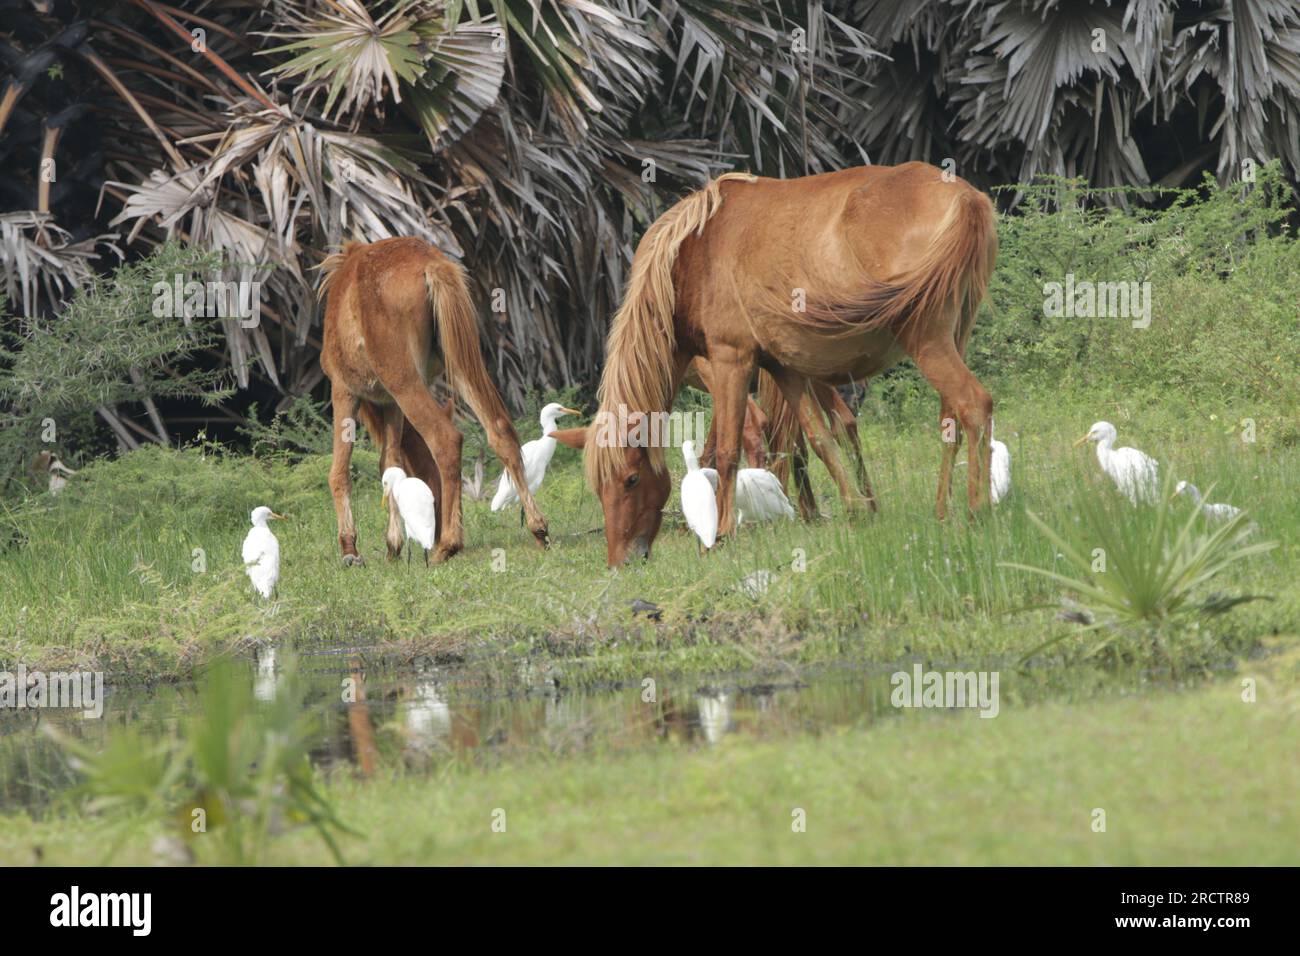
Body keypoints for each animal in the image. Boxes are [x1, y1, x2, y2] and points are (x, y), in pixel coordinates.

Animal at [319, 237, 548, 565]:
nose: (435, 530)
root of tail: (431, 264)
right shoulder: (390, 403)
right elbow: (390, 463)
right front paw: (393, 545)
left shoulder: (345, 390)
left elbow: (340, 471)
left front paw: (350, 548)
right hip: (459, 367)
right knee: (500, 432)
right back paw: (537, 528)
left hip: (406, 383)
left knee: (445, 438)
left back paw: (448, 545)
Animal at [560, 162, 997, 566]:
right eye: (599, 487)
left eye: (631, 479)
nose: (621, 561)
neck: (688, 253)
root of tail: (965, 198)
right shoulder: (784, 370)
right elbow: (819, 439)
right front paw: (855, 509)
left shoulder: (730, 361)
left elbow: (727, 451)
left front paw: (720, 534)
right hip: (953, 337)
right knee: (950, 422)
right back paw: (943, 509)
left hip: (928, 341)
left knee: (975, 405)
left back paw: (978, 511)